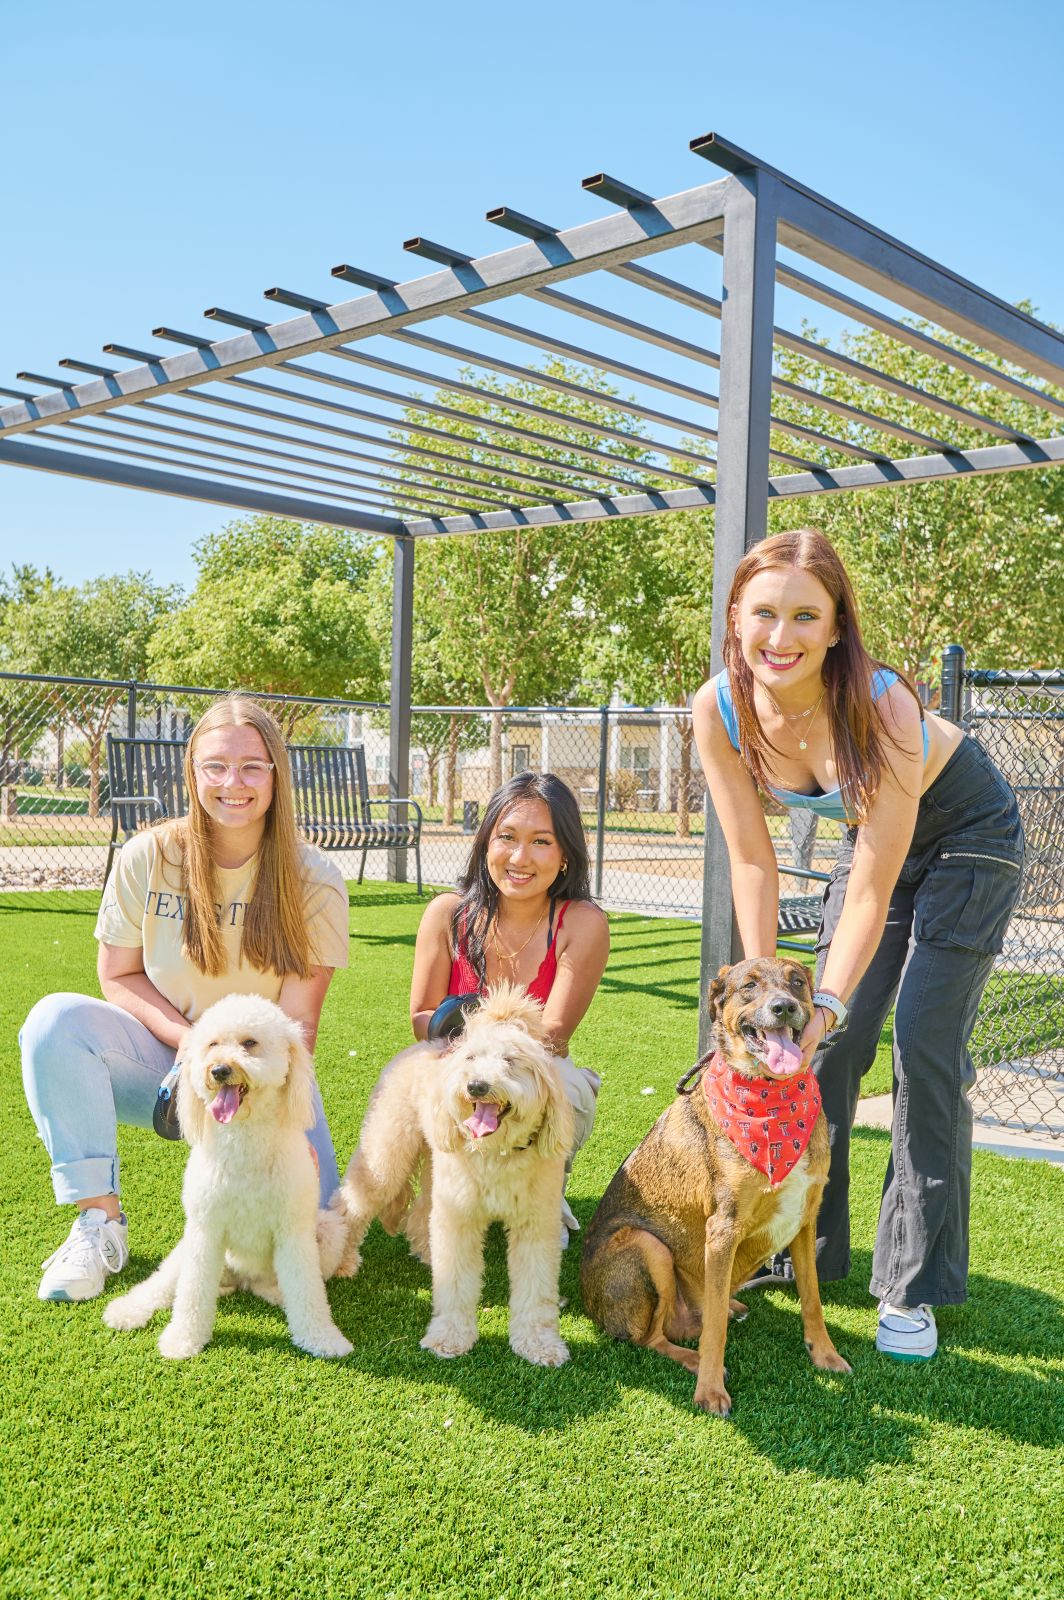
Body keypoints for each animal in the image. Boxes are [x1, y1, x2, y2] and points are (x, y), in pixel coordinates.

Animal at [101, 992, 348, 1356]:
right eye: (212, 1044)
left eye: (250, 1043)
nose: (218, 1070)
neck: (244, 1141)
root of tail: (241, 1278)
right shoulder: (206, 1229)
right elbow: (191, 1293)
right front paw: (183, 1339)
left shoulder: (294, 1232)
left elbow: (308, 1292)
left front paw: (322, 1338)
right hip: (187, 1247)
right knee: (163, 1283)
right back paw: (129, 1309)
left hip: (329, 1232)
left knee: (271, 1285)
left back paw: (274, 1294)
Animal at [340, 985, 572, 1363]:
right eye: (471, 1059)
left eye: (511, 1061)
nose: (477, 1086)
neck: (496, 1155)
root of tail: (422, 1047)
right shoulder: (460, 1218)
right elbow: (457, 1281)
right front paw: (449, 1338)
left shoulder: (535, 1224)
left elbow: (536, 1289)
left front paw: (539, 1343)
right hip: (387, 1152)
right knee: (353, 1202)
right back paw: (341, 1260)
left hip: (438, 1164)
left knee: (422, 1212)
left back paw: (426, 1252)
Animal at [576, 953, 851, 1408]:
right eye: (749, 986)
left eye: (796, 982)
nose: (783, 1007)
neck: (769, 1097)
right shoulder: (722, 1229)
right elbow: (716, 1330)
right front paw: (709, 1390)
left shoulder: (805, 1221)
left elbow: (812, 1299)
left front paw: (825, 1354)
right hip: (647, 1246)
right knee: (656, 1337)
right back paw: (691, 1357)